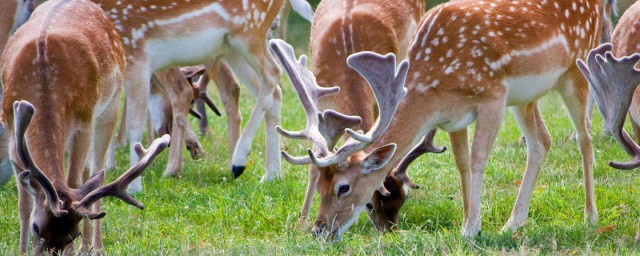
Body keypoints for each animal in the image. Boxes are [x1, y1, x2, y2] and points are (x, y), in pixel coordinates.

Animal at [0, 0, 170, 254]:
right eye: (36, 227)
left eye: (74, 233)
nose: (56, 251)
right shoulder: (11, 124)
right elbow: (25, 201)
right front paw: (22, 251)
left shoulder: (84, 121)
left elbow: (74, 181)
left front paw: (79, 247)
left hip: (110, 106)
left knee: (96, 169)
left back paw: (94, 246)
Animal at [272, 0, 612, 240]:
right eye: (319, 186)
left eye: (343, 187)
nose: (319, 230)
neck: (434, 86)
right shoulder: (453, 118)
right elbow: (461, 164)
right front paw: (469, 221)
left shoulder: (493, 96)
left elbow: (478, 159)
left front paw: (471, 229)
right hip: (526, 98)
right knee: (541, 141)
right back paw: (513, 223)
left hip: (576, 67)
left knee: (584, 137)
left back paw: (590, 216)